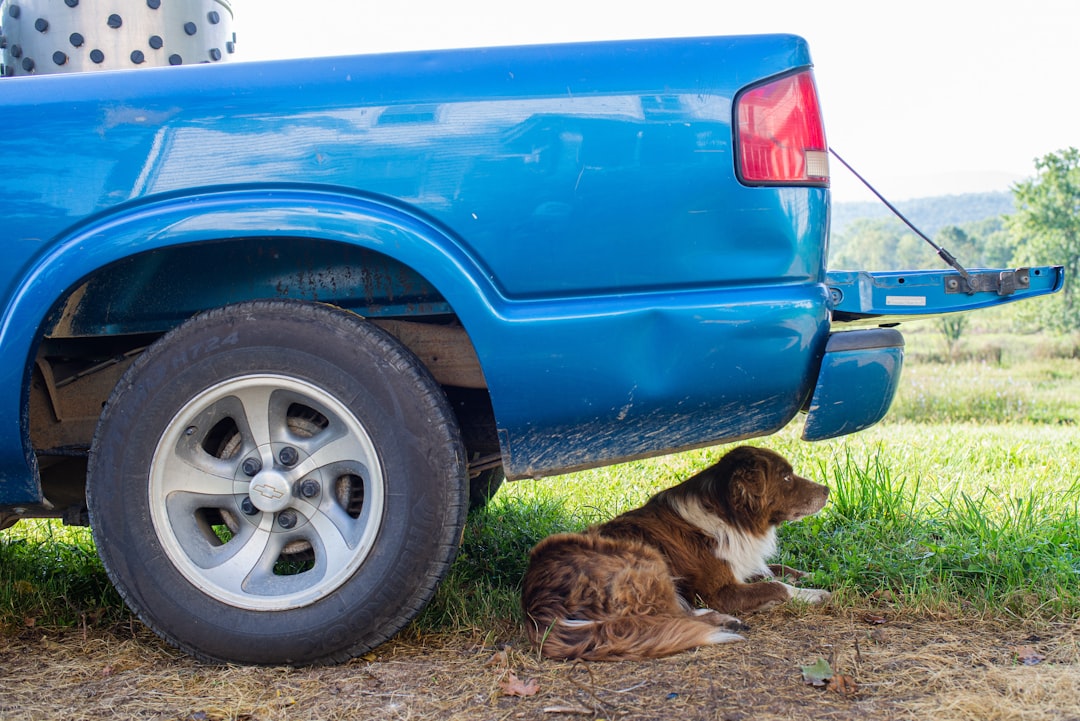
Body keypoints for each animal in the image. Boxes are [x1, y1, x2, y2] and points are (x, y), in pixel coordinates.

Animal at [518, 446, 829, 660]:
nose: (827, 489)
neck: (729, 514)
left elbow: (778, 570)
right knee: (668, 616)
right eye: (786, 477)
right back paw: (723, 621)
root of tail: (537, 603)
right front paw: (815, 594)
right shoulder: (720, 592)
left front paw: (812, 575)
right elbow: (777, 586)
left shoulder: (741, 565)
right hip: (647, 558)